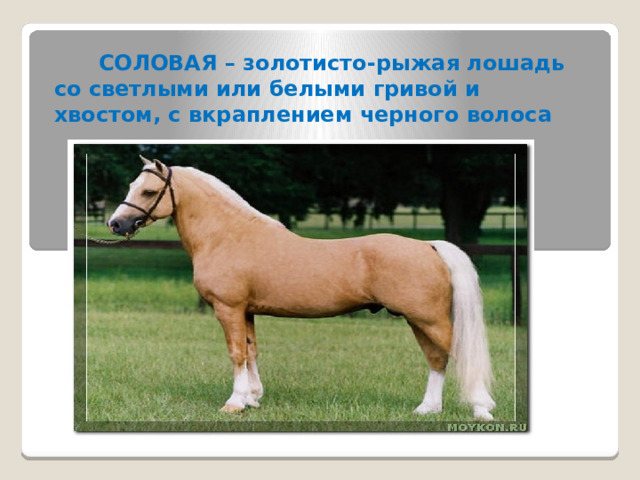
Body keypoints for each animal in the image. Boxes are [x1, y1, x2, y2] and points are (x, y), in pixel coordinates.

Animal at [107, 156, 496, 420]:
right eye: (130, 187)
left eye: (149, 191)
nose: (115, 224)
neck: (228, 235)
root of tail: (428, 246)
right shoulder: (247, 311)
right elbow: (251, 351)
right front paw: (252, 397)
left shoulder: (229, 308)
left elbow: (236, 353)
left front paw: (234, 403)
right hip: (418, 320)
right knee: (436, 359)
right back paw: (427, 409)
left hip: (429, 319)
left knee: (456, 354)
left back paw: (481, 409)